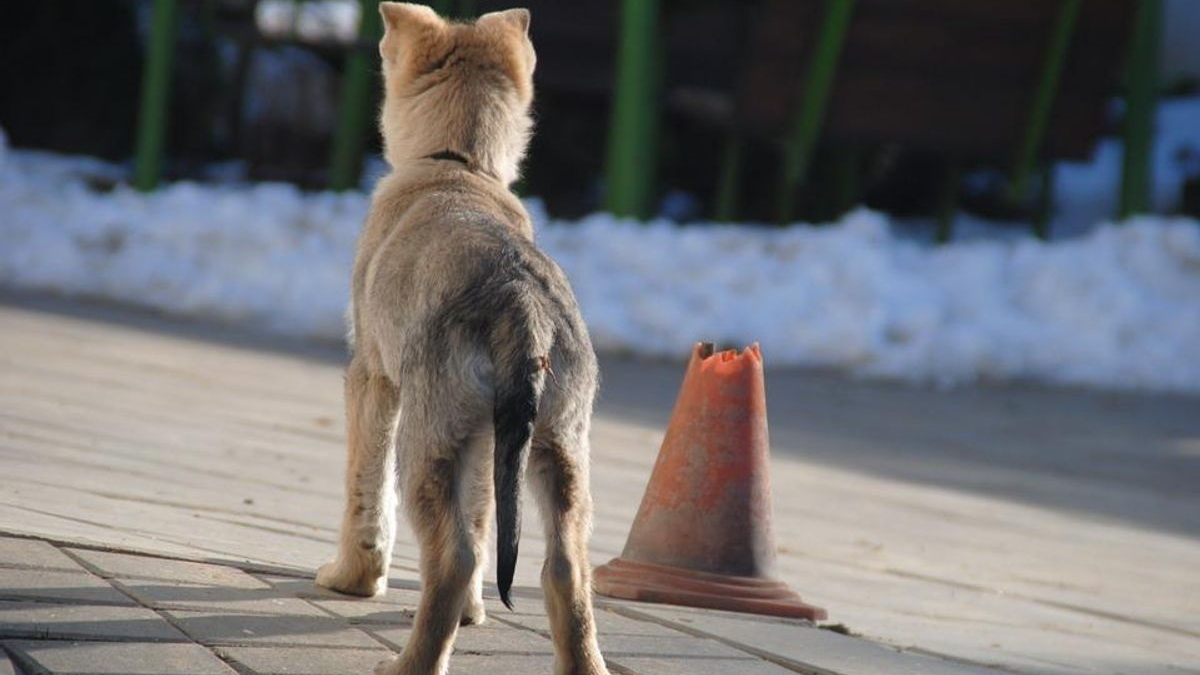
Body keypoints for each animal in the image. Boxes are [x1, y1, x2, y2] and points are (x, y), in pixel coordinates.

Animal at [314, 5, 609, 672]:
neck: (456, 165)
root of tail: (524, 305)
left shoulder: (371, 378)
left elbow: (363, 493)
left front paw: (351, 580)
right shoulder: (488, 440)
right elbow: (479, 514)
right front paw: (473, 616)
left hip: (427, 443)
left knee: (453, 559)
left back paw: (406, 664)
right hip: (558, 451)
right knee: (564, 569)